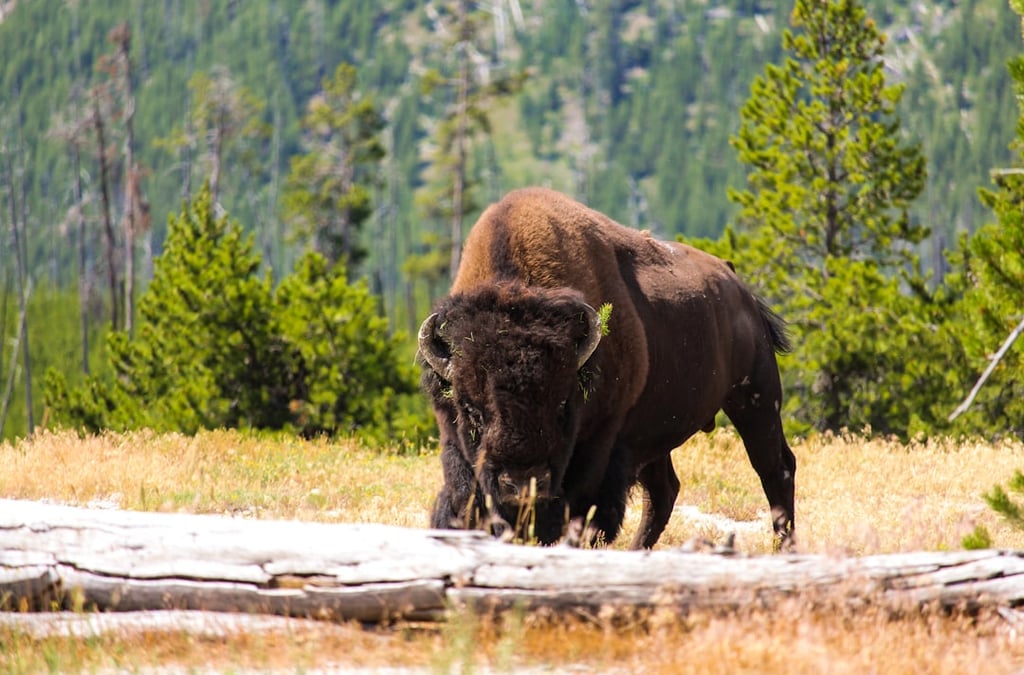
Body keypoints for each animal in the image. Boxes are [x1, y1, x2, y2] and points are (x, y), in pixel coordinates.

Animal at [418, 187, 795, 550]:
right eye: (471, 409)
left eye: (562, 405)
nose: (523, 485)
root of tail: (738, 285)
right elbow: (463, 500)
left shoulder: (602, 443)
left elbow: (584, 511)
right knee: (665, 490)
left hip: (756, 398)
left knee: (776, 468)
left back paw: (783, 547)